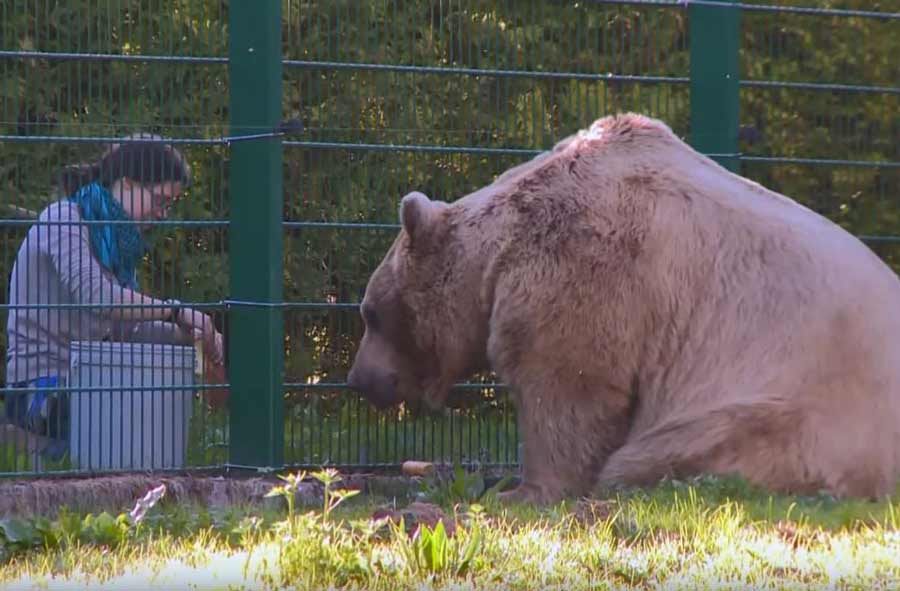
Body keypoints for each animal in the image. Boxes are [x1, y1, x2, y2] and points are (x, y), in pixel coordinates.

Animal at [348, 114, 900, 504]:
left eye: (370, 313)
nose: (358, 379)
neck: (498, 253)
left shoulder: (586, 263)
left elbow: (568, 385)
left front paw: (522, 491)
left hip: (787, 410)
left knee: (667, 449)